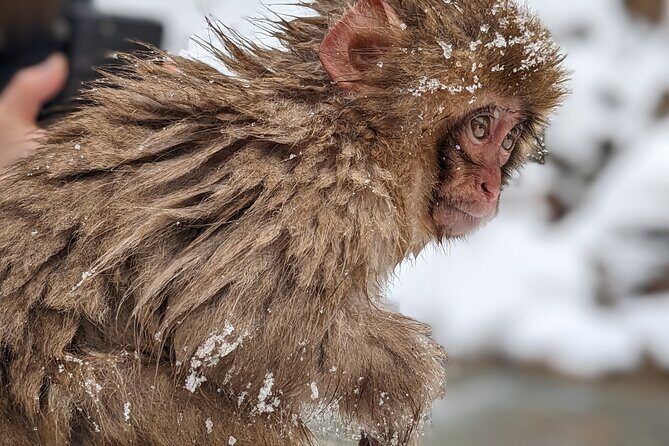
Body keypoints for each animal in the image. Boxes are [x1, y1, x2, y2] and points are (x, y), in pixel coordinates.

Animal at [0, 0, 567, 444]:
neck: (355, 133)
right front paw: (408, 380)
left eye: (509, 138)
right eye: (480, 128)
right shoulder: (324, 198)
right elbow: (230, 324)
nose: (491, 187)